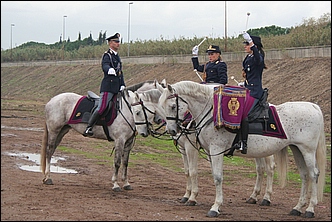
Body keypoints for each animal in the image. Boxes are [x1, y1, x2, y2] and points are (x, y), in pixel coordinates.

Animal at [134, 83, 278, 206]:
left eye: (138, 112)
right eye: (162, 106)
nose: (172, 130)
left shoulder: (191, 147)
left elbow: (193, 171)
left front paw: (192, 197)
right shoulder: (183, 148)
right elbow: (187, 171)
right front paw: (186, 195)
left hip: (266, 150)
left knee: (270, 168)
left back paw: (266, 197)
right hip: (256, 150)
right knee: (260, 169)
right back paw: (253, 196)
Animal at [160, 80, 326, 218]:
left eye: (173, 106)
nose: (172, 130)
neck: (212, 112)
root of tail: (313, 106)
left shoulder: (213, 149)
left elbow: (215, 177)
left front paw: (214, 206)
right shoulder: (207, 151)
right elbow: (198, 173)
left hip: (307, 151)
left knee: (313, 175)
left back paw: (310, 209)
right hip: (296, 149)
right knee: (304, 175)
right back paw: (297, 207)